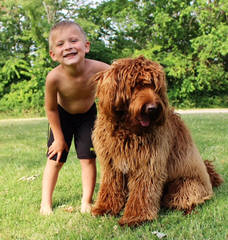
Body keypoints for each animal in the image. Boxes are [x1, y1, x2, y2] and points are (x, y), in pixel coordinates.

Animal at [91, 55, 223, 227]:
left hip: (184, 185)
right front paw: (104, 208)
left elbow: (142, 192)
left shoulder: (148, 164)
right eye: (135, 85)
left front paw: (135, 218)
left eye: (155, 87)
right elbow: (110, 187)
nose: (152, 108)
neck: (128, 130)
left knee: (188, 200)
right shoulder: (112, 165)